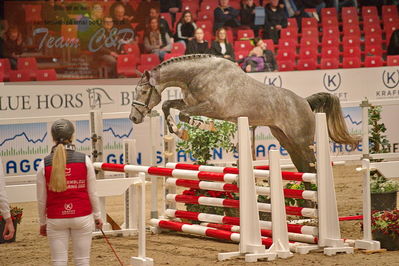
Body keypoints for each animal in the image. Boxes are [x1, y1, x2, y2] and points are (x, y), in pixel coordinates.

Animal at [130, 54, 360, 175]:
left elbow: (185, 116)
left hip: (302, 142)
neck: (198, 75)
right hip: (287, 141)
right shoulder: (190, 102)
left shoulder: (212, 107)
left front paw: (195, 129)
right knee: (304, 167)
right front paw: (174, 129)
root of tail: (304, 101)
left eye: (143, 91)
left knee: (312, 167)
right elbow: (168, 105)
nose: (134, 118)